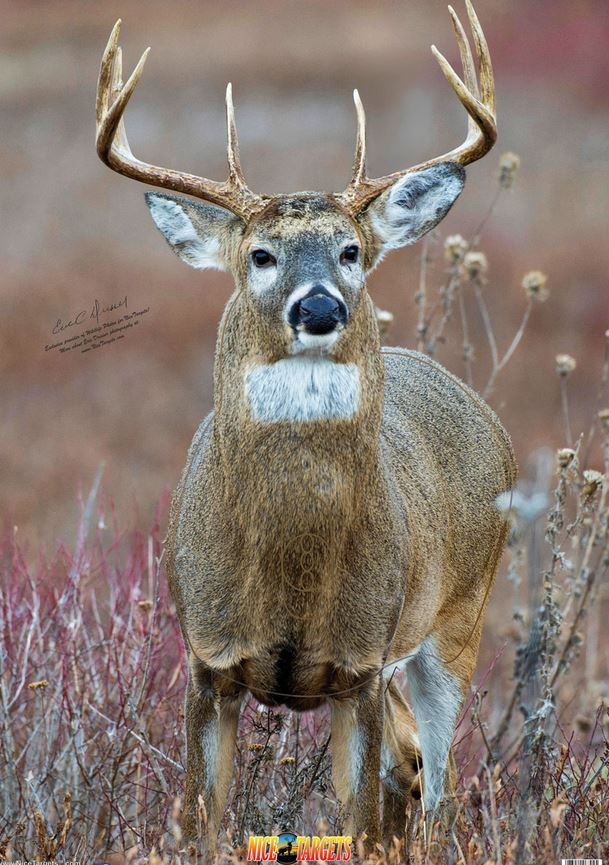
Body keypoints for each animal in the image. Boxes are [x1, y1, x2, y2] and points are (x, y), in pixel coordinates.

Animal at [96, 1, 516, 856]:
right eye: (260, 254)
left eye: (351, 250)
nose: (318, 305)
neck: (288, 574)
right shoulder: (206, 659)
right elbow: (200, 819)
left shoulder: (360, 665)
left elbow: (361, 826)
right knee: (409, 768)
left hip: (455, 621)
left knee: (436, 785)